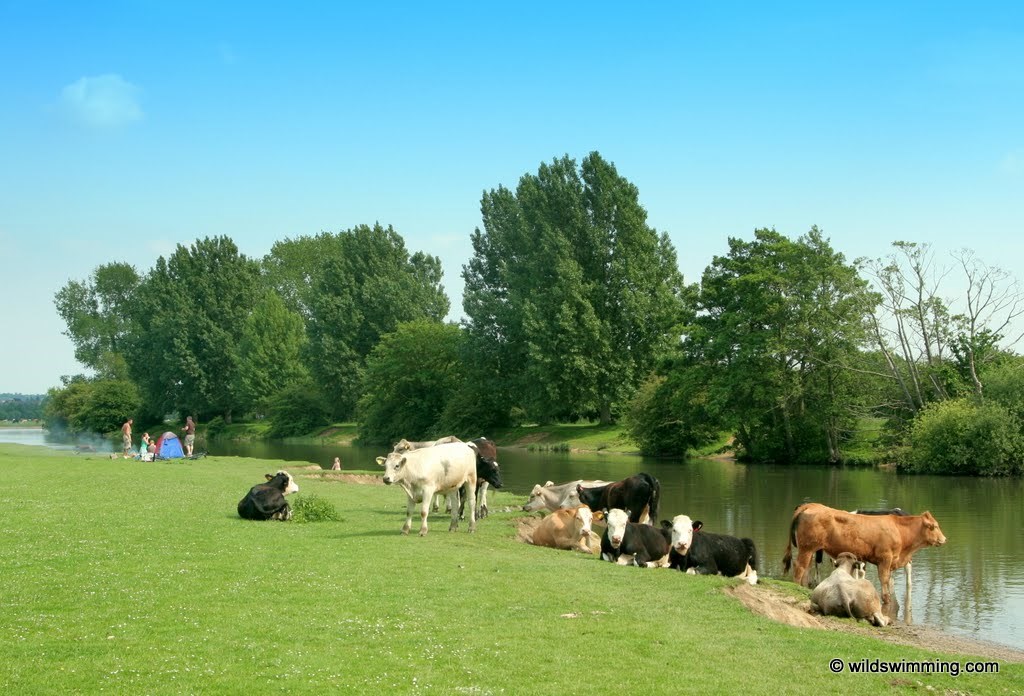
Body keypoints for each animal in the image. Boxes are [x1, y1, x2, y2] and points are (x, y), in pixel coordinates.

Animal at [782, 499, 942, 610]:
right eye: (934, 526)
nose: (944, 539)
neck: (898, 529)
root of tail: (810, 505)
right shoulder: (885, 559)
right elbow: (884, 579)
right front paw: (886, 600)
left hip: (809, 550)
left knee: (806, 568)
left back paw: (804, 587)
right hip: (807, 548)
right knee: (800, 567)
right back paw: (796, 586)